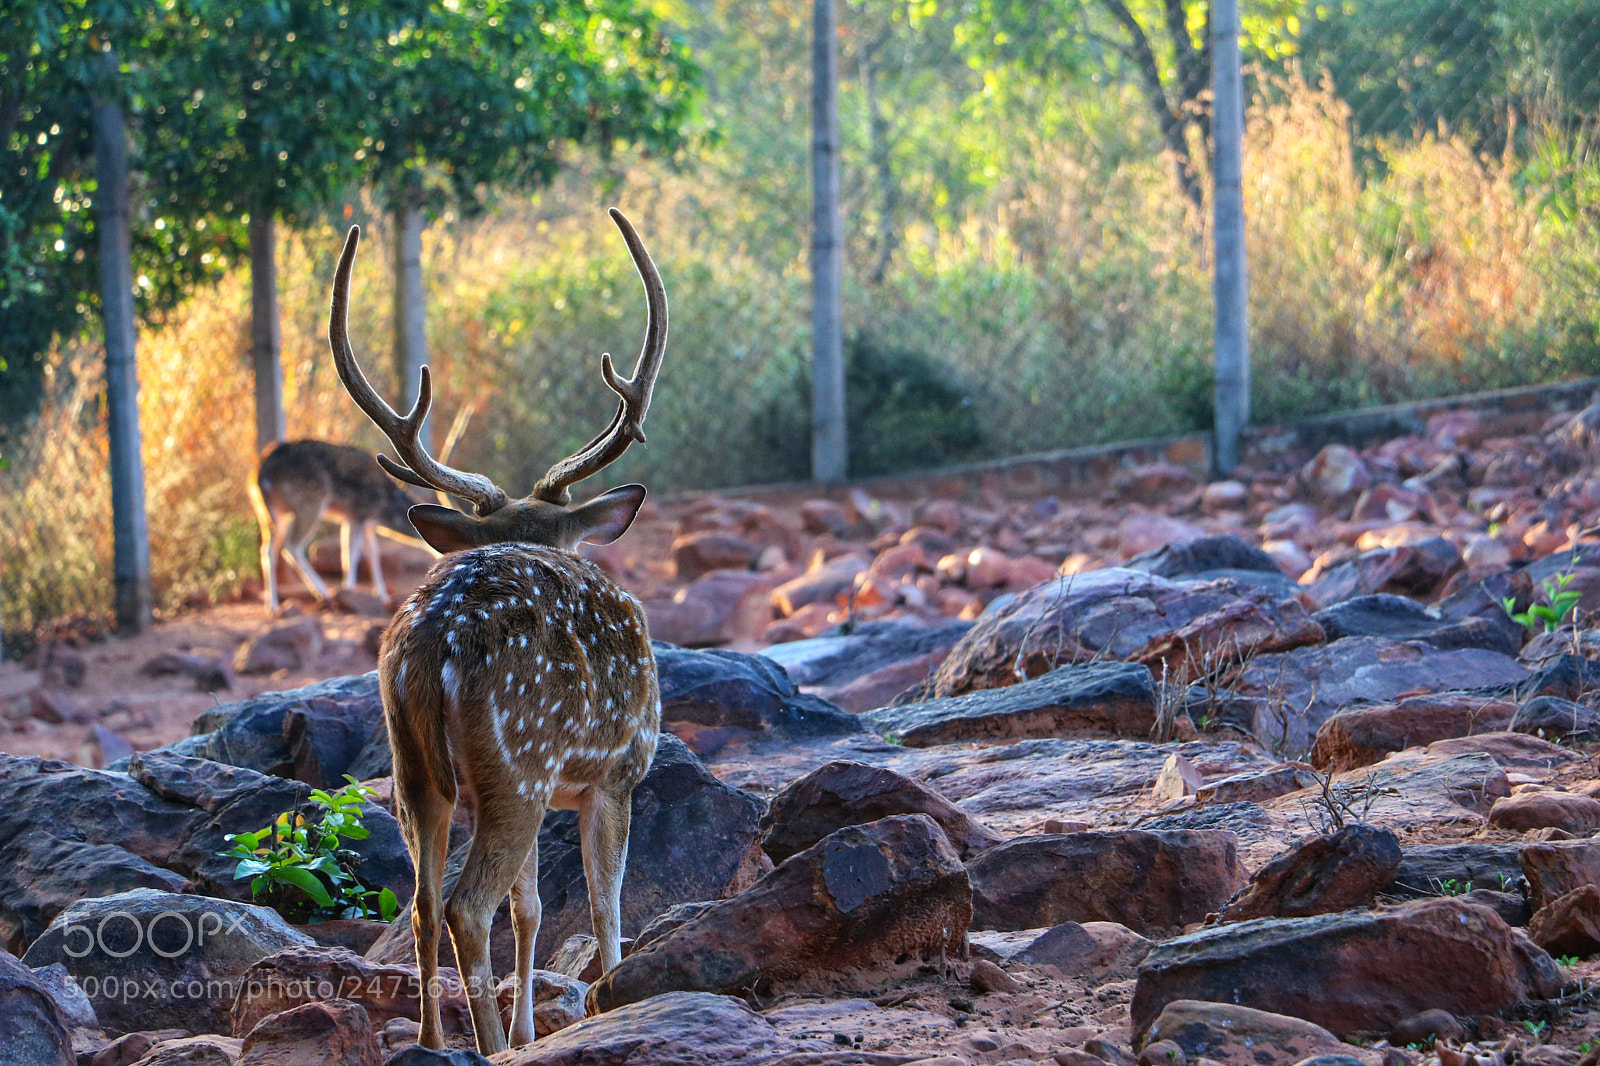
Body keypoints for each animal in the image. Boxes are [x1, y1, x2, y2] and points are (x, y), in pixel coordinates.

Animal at [327, 208, 666, 1054]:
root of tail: (430, 650)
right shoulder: (617, 773)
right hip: (519, 760)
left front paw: (530, 1029)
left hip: (418, 770)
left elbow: (534, 906)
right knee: (462, 906)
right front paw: (608, 995)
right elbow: (605, 904)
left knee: (422, 904)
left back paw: (434, 1041)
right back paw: (483, 1045)